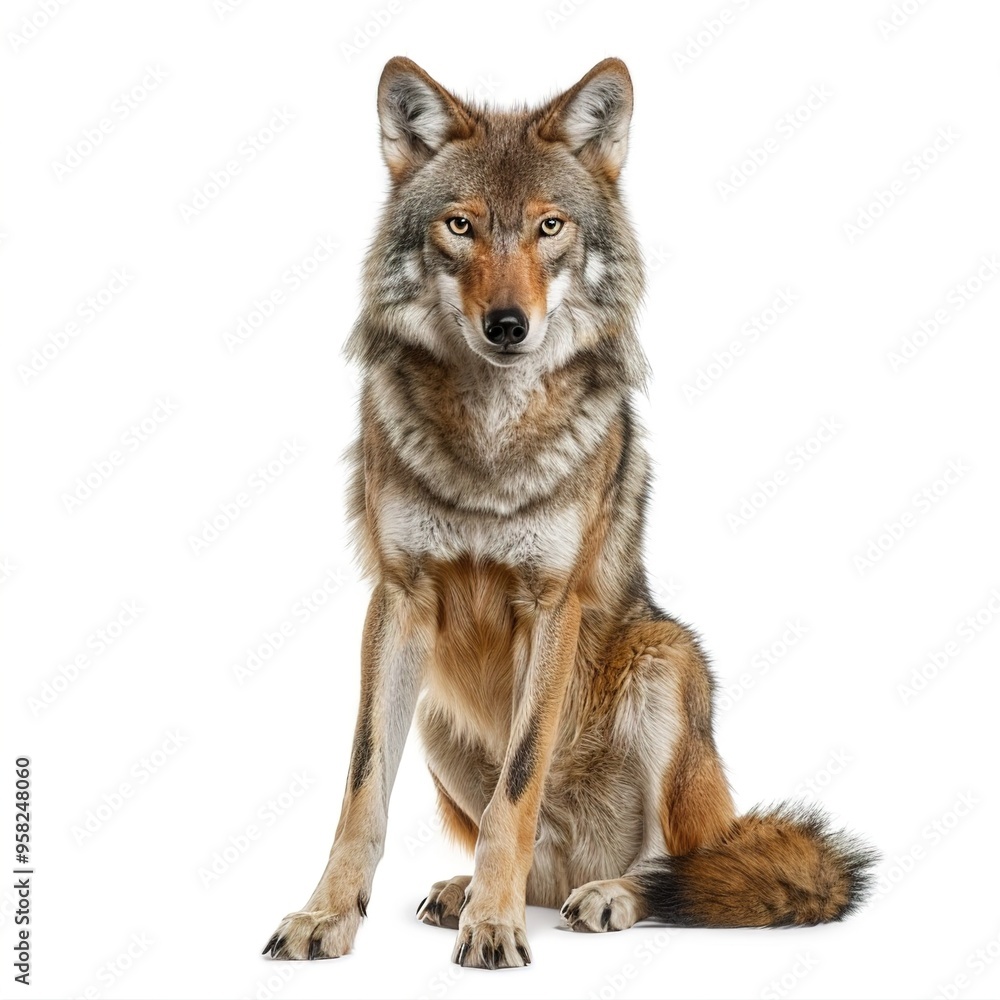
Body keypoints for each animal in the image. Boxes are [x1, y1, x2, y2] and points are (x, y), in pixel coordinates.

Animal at [262, 56, 876, 970]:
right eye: (461, 226)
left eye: (549, 227)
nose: (507, 325)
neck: (489, 441)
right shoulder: (398, 600)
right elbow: (363, 788)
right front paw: (329, 914)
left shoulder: (552, 604)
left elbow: (517, 789)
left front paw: (494, 926)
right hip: (439, 714)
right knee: (542, 861)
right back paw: (475, 893)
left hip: (666, 661)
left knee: (677, 867)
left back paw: (607, 895)